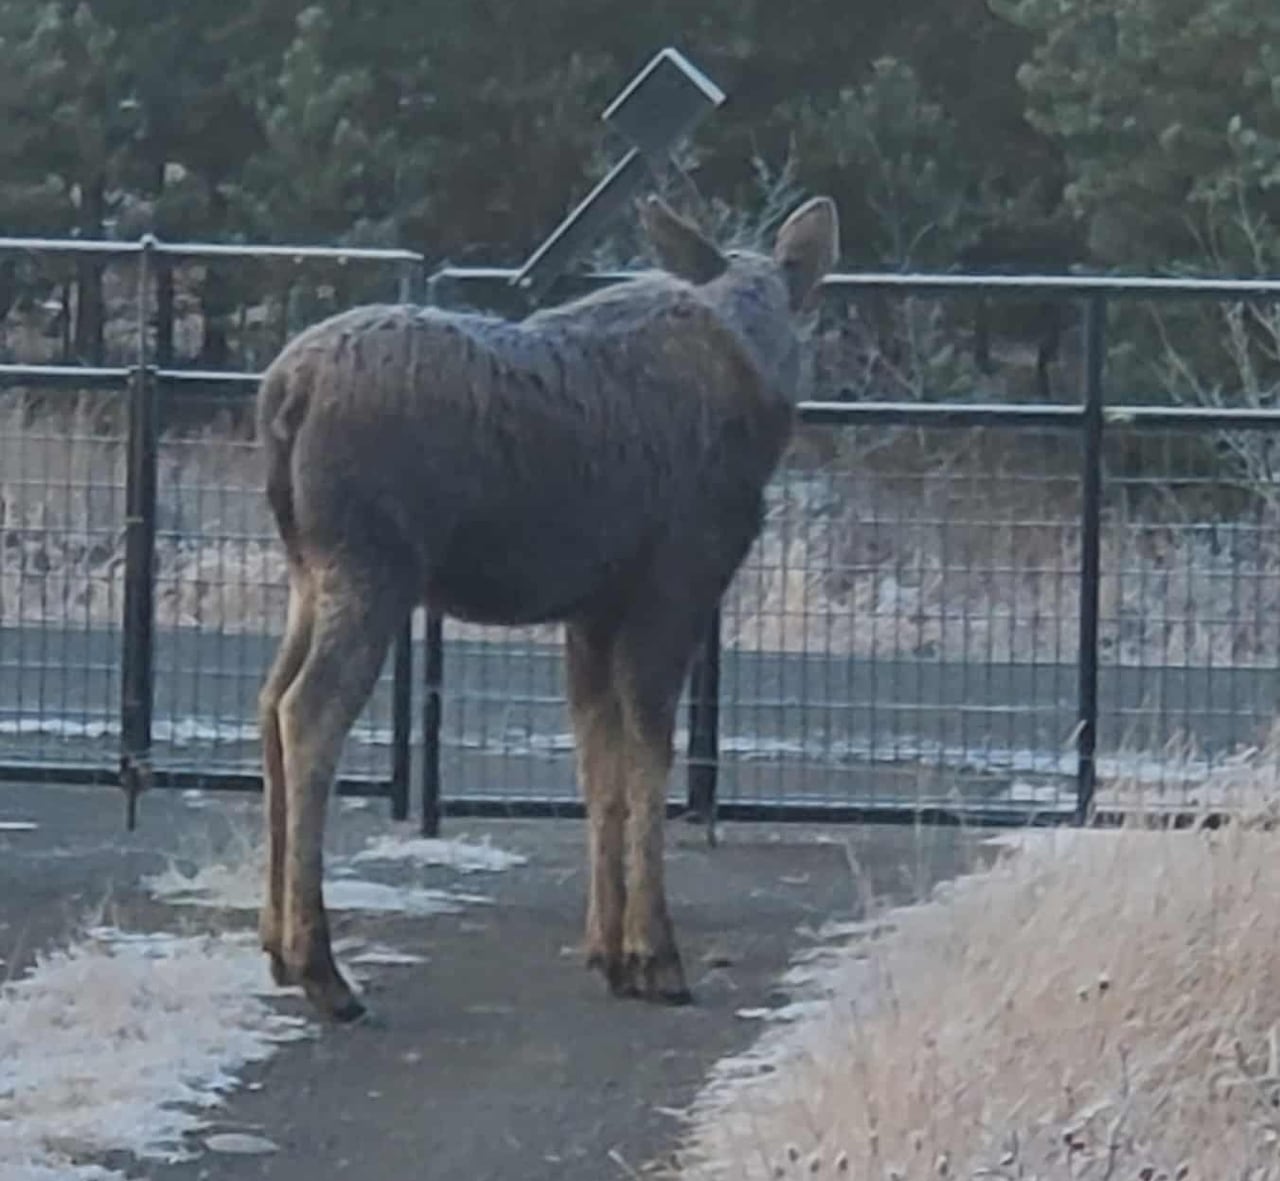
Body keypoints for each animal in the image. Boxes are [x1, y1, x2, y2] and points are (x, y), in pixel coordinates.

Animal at [254, 191, 840, 1022]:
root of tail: (284, 394)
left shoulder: (591, 610)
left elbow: (599, 761)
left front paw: (607, 948)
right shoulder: (674, 587)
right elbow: (649, 756)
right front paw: (655, 953)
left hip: (309, 571)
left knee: (268, 699)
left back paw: (276, 946)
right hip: (372, 566)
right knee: (308, 712)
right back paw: (323, 969)